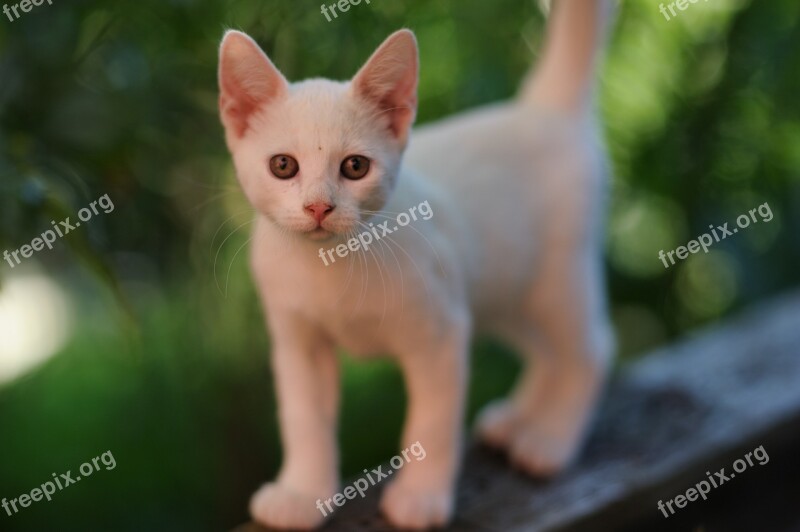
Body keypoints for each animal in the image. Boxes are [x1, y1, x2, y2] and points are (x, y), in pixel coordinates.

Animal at [217, 0, 612, 528]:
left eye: (355, 167)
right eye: (283, 166)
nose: (318, 207)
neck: (331, 264)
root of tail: (541, 109)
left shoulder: (440, 333)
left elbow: (432, 424)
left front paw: (420, 498)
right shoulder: (298, 343)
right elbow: (305, 420)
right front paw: (302, 494)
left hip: (556, 277)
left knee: (590, 349)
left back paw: (548, 440)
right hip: (507, 290)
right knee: (547, 350)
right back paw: (519, 420)